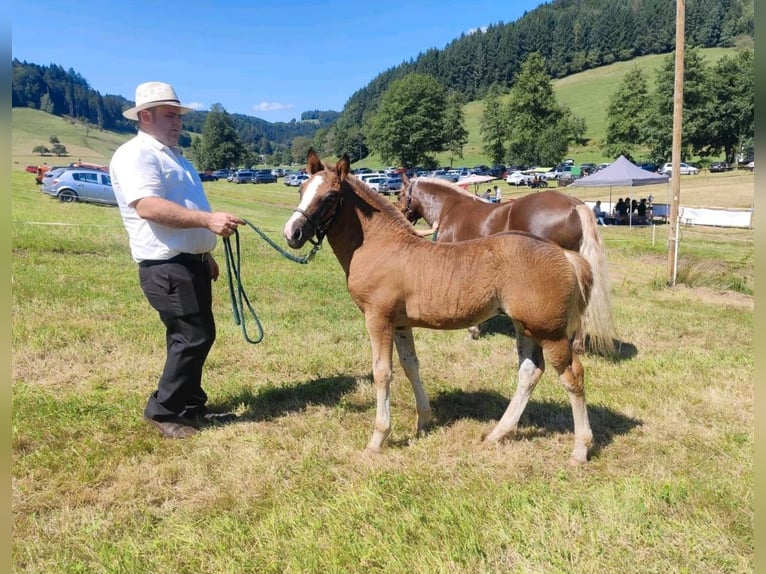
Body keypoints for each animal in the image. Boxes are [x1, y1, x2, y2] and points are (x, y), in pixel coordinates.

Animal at [397, 175, 616, 356]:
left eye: (400, 194)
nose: (401, 215)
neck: (449, 209)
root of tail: (575, 205)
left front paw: (472, 330)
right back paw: (577, 345)